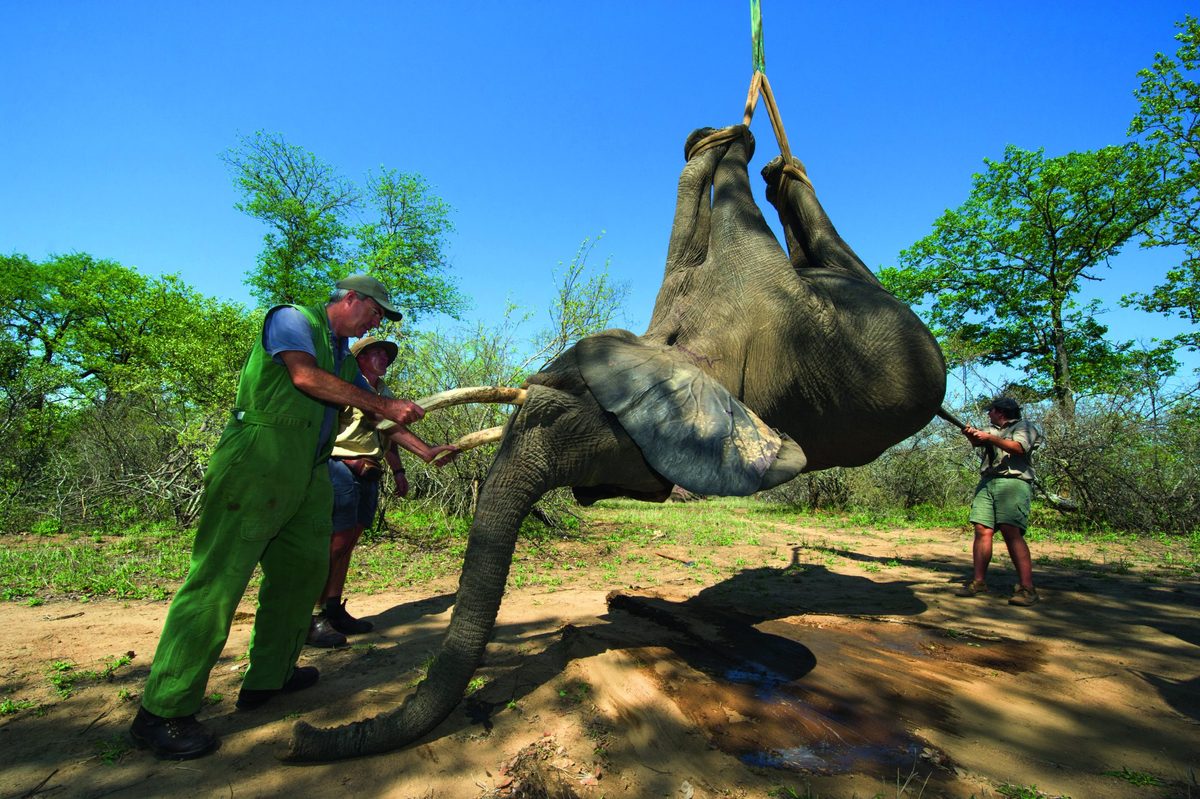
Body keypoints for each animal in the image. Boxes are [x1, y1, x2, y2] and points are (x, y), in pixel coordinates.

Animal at [283, 124, 947, 761]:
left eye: (555, 416)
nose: (303, 737)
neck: (679, 349)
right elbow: (691, 238)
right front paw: (713, 144)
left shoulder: (768, 304)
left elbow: (731, 222)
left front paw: (724, 142)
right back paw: (779, 170)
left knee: (826, 248)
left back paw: (779, 168)